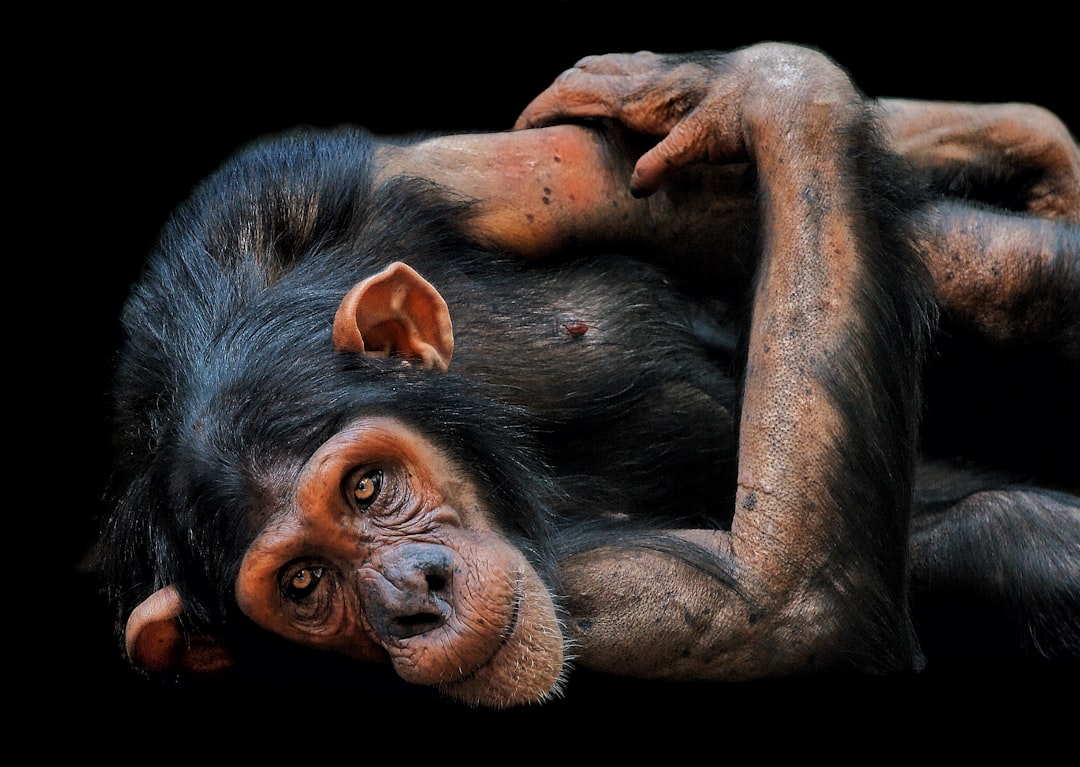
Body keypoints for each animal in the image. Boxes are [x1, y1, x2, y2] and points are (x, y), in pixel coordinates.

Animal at [97, 39, 1075, 704]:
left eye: (366, 488)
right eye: (304, 583)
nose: (415, 595)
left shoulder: (365, 181)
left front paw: (724, 86)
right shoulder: (596, 601)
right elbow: (782, 603)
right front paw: (764, 81)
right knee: (1009, 538)